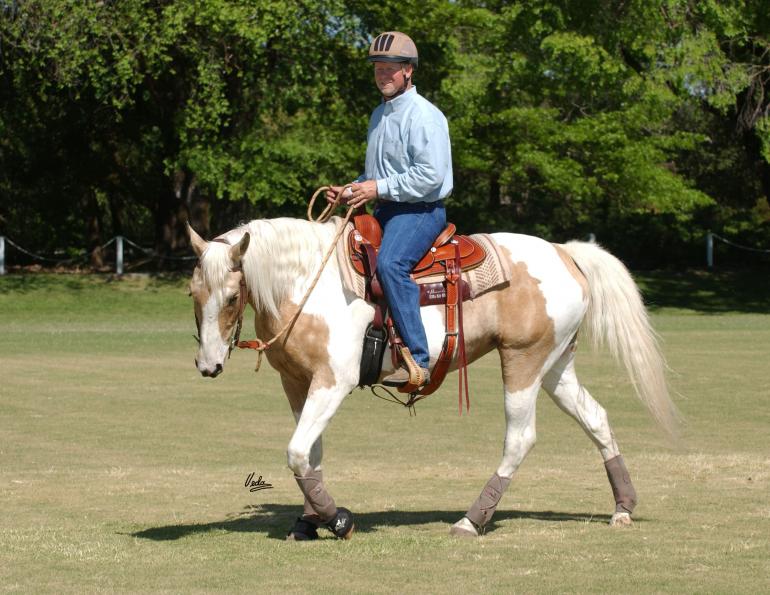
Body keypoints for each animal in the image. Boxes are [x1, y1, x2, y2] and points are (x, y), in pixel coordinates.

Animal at [187, 216, 678, 540]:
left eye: (231, 297)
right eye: (193, 293)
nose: (208, 365)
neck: (308, 283)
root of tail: (565, 253)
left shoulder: (332, 381)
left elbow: (295, 451)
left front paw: (337, 519)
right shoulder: (297, 383)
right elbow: (311, 454)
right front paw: (309, 520)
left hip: (523, 361)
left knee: (520, 438)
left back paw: (472, 520)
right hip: (556, 365)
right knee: (596, 417)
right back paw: (622, 508)